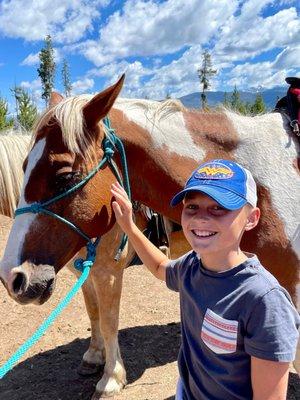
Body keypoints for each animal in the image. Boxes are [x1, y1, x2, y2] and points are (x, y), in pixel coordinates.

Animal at [0, 74, 298, 396]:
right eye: (24, 168)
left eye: (64, 175)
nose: (12, 277)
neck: (260, 179)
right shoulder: (82, 270)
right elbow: (93, 312)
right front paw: (93, 357)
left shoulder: (107, 271)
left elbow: (108, 320)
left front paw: (111, 377)